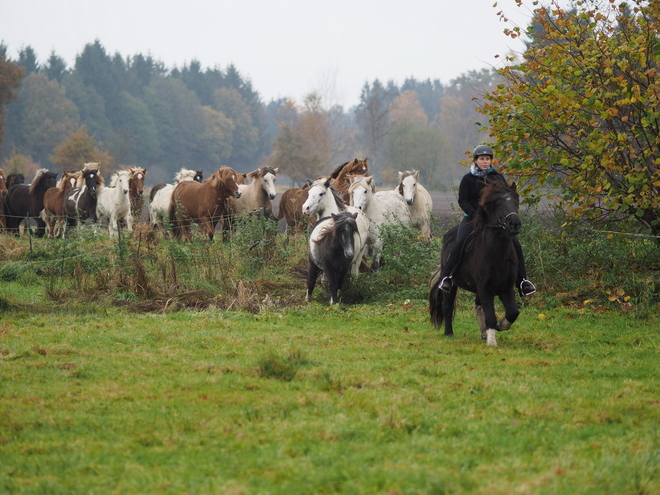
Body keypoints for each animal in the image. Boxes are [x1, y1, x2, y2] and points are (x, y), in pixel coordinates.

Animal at [430, 182, 524, 348]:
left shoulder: (506, 288)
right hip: (452, 284)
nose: (514, 224)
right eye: (498, 204)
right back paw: (449, 333)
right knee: (447, 306)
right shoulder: (485, 288)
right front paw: (492, 342)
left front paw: (499, 327)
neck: (498, 254)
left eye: (516, 202)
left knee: (477, 305)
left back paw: (484, 333)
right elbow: (491, 316)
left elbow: (513, 313)